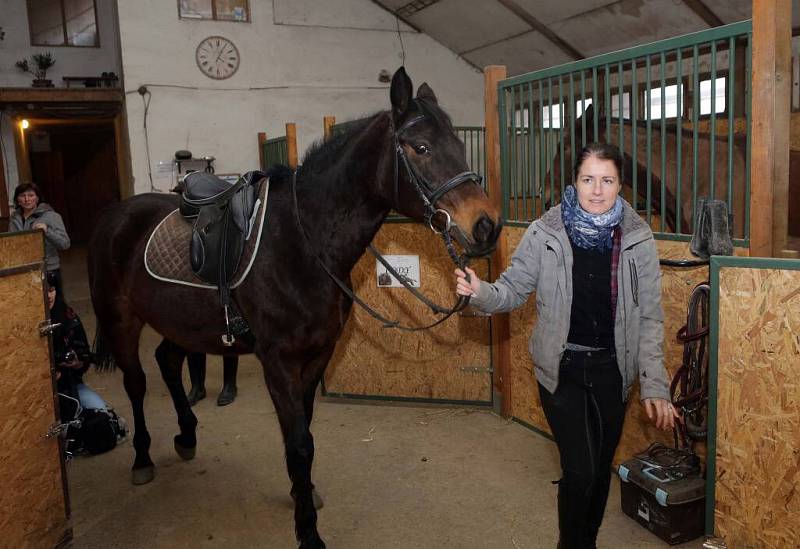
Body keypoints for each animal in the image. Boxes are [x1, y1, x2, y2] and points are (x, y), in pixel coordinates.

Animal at [87, 69, 500, 548]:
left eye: (458, 143)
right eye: (421, 147)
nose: (487, 226)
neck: (302, 243)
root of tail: (116, 215)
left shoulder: (318, 355)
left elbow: (304, 434)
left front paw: (303, 494)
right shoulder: (279, 361)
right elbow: (298, 442)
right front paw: (308, 530)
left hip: (181, 325)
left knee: (168, 363)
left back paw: (186, 436)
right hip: (121, 320)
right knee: (135, 383)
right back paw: (142, 459)